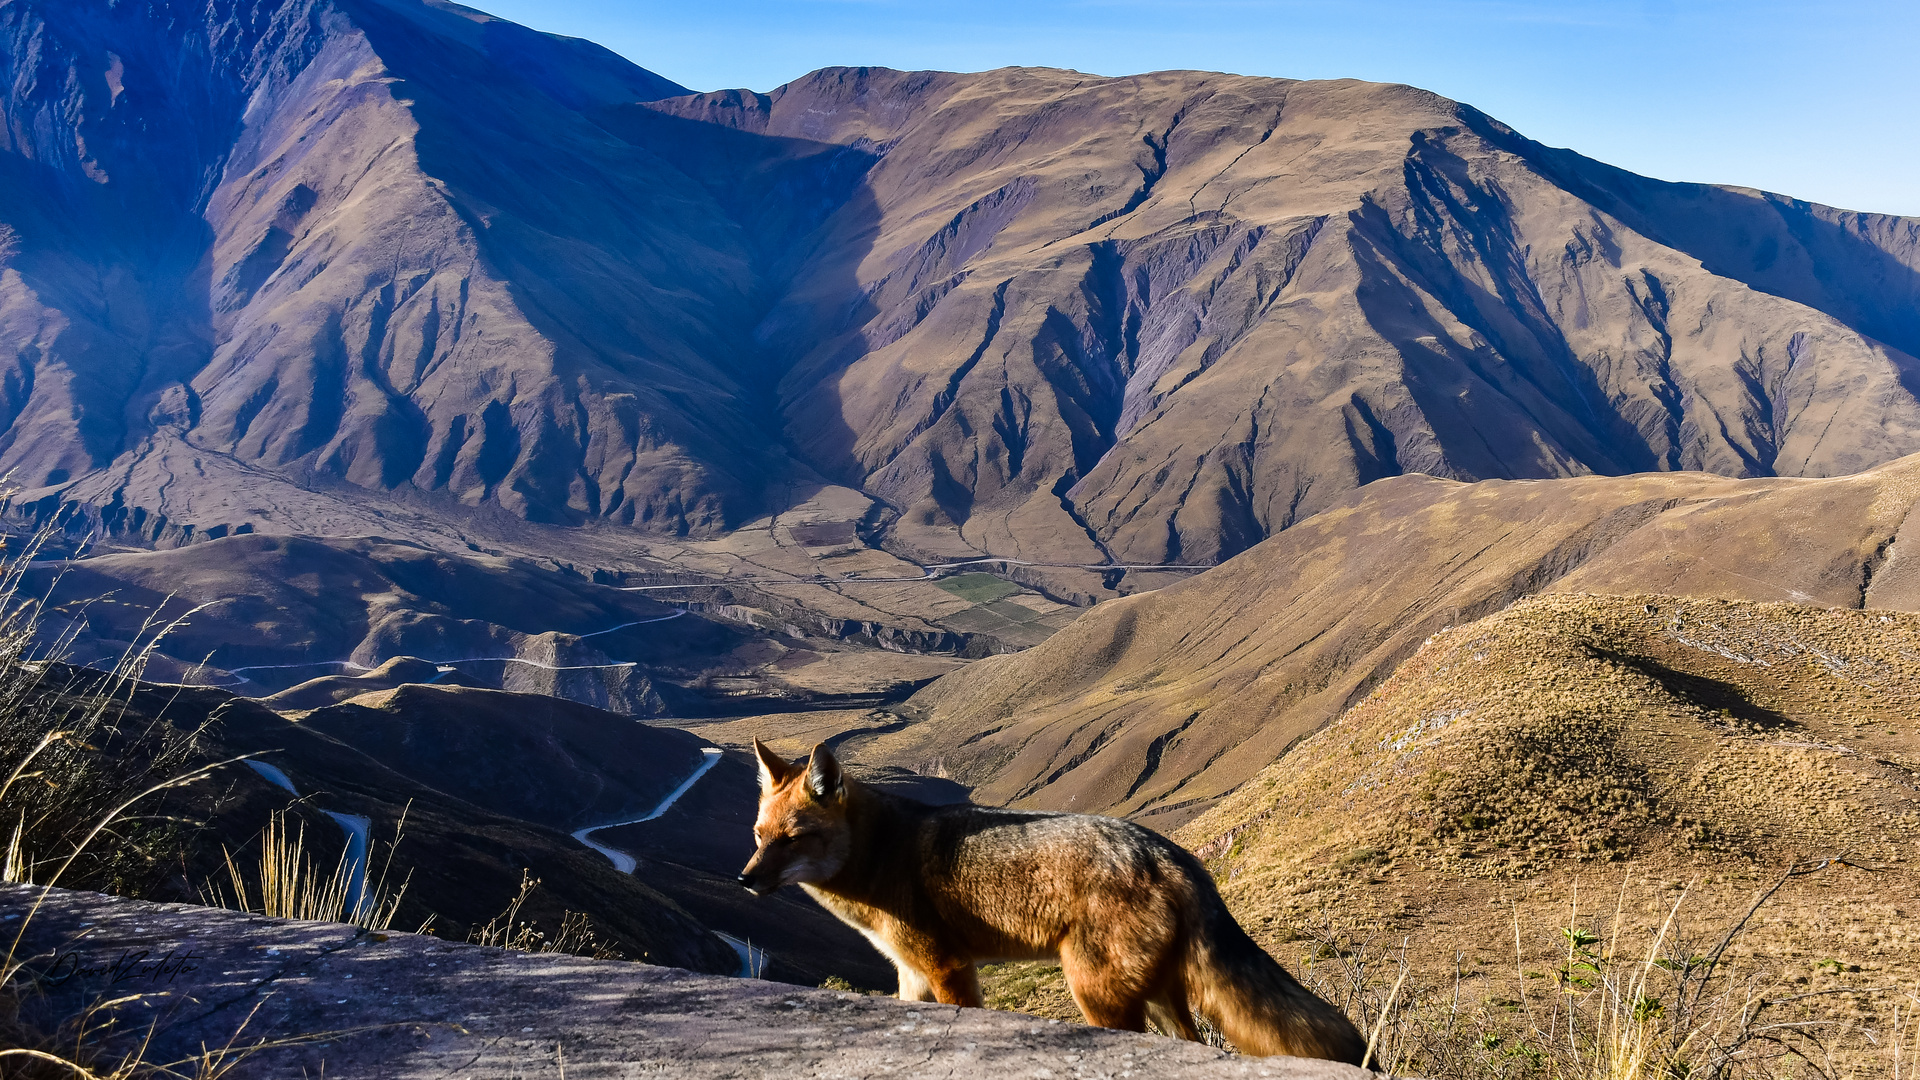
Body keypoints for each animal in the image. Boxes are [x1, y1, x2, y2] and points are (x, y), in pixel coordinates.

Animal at [733, 737, 1367, 1060]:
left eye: (792, 839)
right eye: (759, 837)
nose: (744, 881)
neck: (882, 852)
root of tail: (1172, 853)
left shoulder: (948, 968)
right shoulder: (911, 977)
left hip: (1096, 994)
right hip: (1158, 999)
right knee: (1189, 1047)